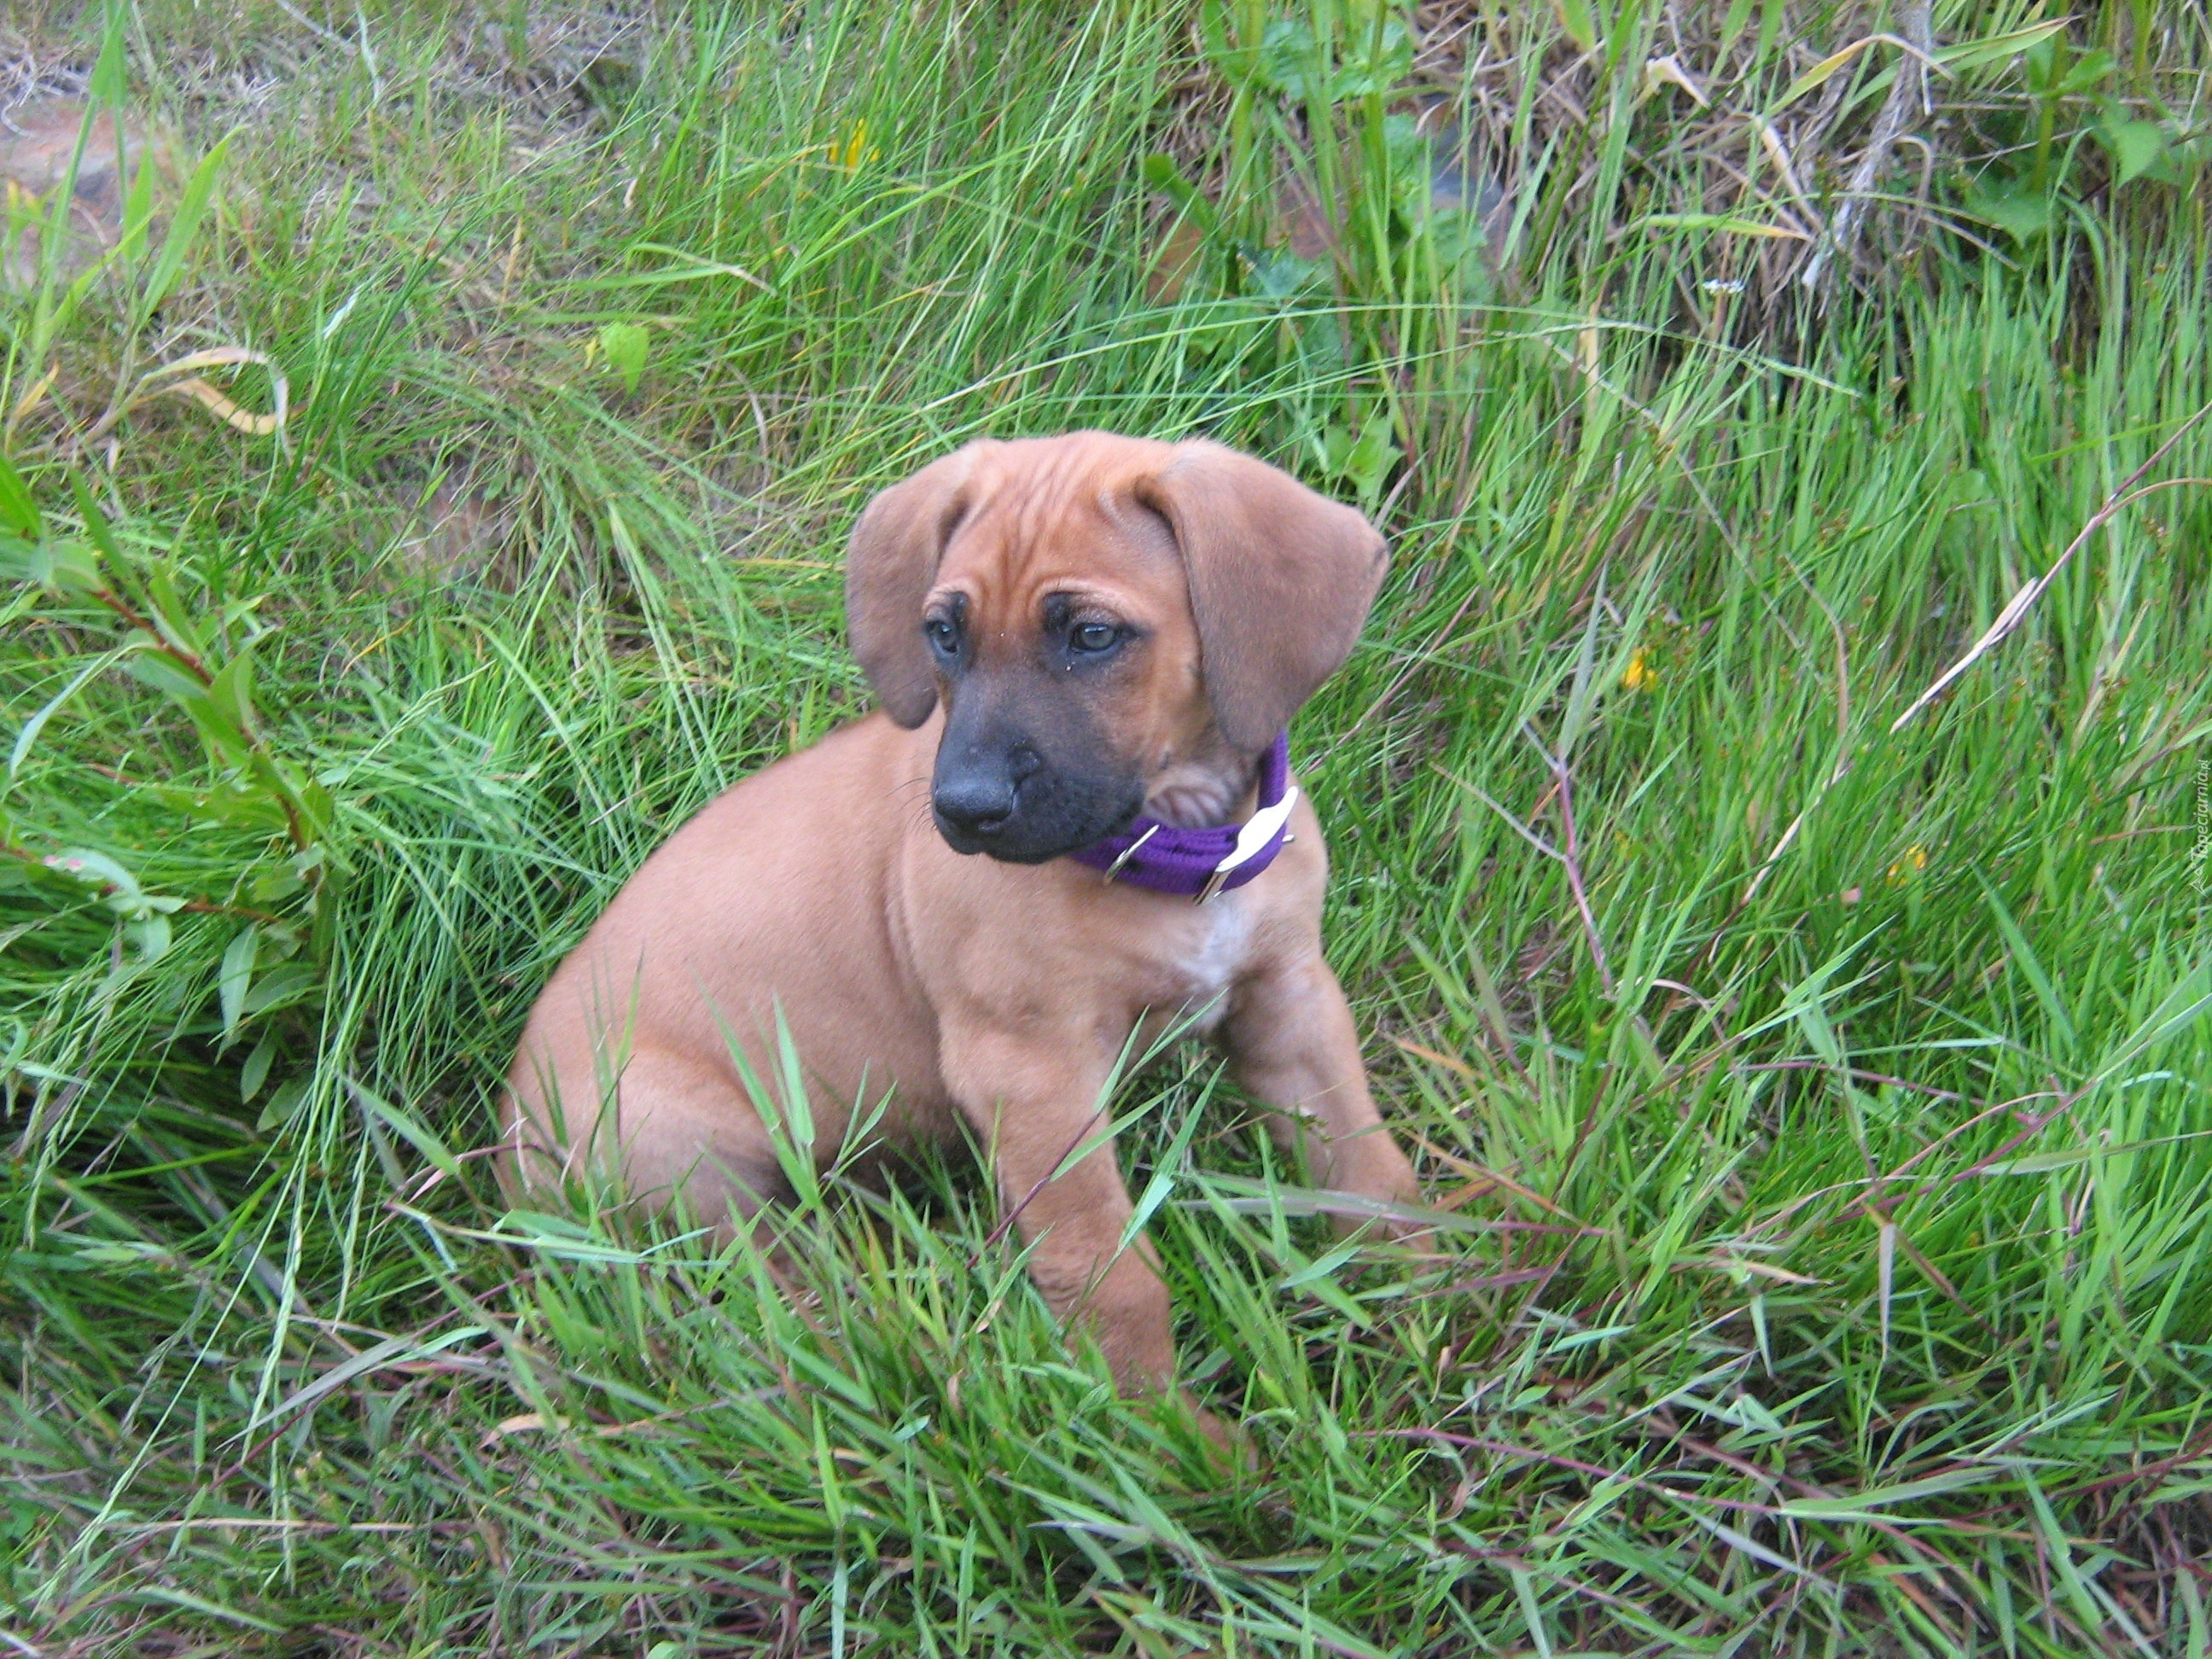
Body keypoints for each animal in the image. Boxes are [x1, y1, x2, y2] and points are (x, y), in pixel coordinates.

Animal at [504, 428, 1424, 1406]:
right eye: (945, 634)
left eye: (1092, 636)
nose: (964, 809)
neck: (1176, 852)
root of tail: (509, 1150)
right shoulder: (1032, 1075)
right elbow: (1107, 1275)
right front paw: (1162, 1426)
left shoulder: (1289, 1000)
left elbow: (1370, 1176)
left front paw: (1439, 1294)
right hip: (683, 1161)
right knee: (772, 1303)